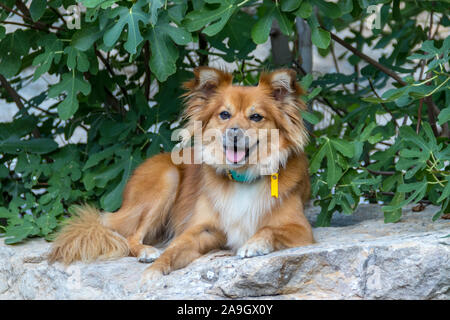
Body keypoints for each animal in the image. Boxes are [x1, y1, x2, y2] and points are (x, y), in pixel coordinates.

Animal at [49, 67, 314, 280]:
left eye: (256, 117)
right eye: (224, 115)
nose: (233, 132)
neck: (242, 178)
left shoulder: (301, 229)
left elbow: (269, 230)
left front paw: (254, 244)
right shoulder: (200, 229)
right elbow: (173, 249)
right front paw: (155, 270)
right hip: (168, 178)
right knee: (130, 237)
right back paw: (146, 251)